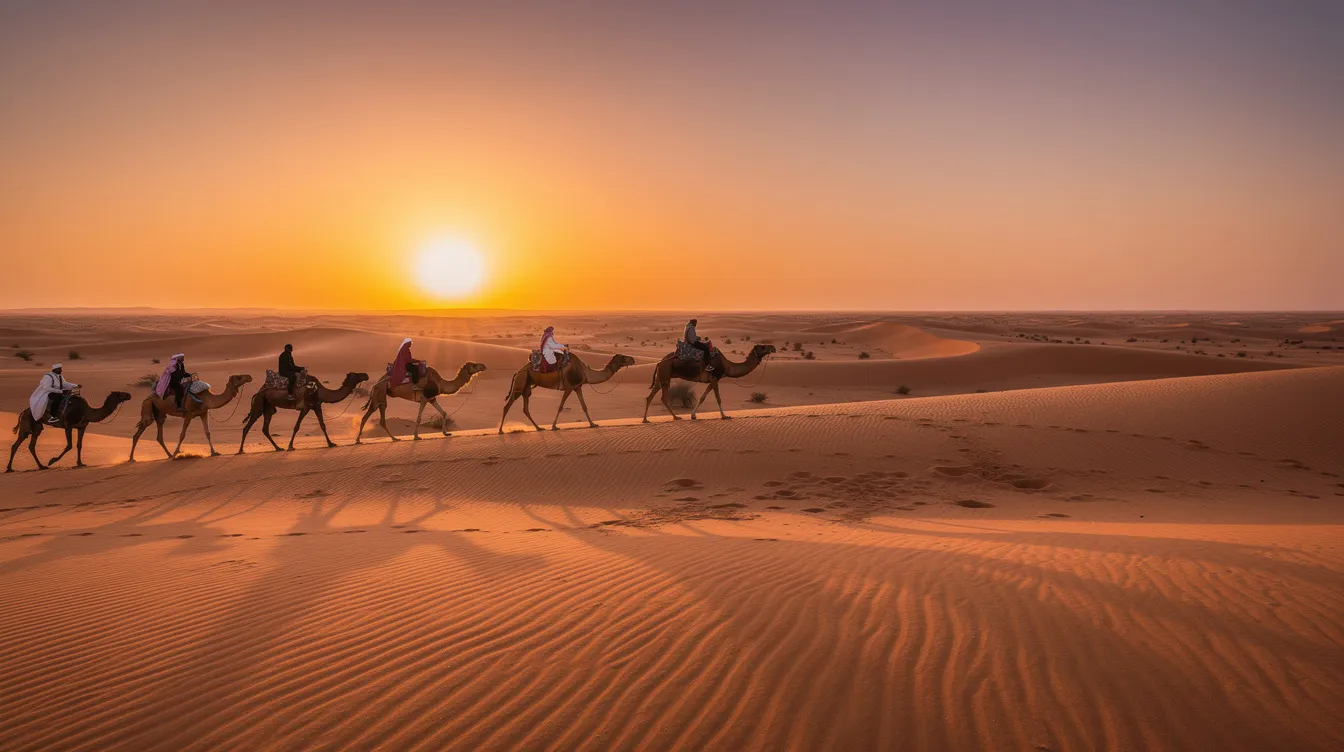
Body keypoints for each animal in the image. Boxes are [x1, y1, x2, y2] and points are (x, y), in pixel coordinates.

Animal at [238, 371, 370, 453]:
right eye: (356, 374)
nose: (366, 375)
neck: (319, 391)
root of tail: (257, 393)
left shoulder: (316, 406)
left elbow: (323, 425)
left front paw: (331, 443)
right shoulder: (306, 407)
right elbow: (297, 426)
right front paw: (290, 446)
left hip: (269, 408)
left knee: (265, 429)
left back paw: (278, 448)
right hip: (259, 406)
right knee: (247, 427)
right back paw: (240, 450)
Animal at [356, 362, 486, 443]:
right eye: (474, 365)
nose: (484, 366)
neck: (440, 383)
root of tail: (375, 384)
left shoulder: (431, 399)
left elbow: (443, 412)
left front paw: (446, 433)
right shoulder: (424, 398)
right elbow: (418, 418)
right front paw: (416, 437)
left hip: (381, 398)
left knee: (378, 418)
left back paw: (394, 438)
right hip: (380, 394)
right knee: (368, 416)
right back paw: (358, 440)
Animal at [499, 353, 637, 433]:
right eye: (623, 357)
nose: (633, 359)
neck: (584, 371)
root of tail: (517, 371)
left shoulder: (578, 387)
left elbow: (584, 406)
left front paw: (593, 424)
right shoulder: (569, 387)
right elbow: (560, 406)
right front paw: (554, 426)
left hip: (526, 387)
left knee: (525, 409)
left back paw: (539, 428)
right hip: (520, 383)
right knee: (507, 406)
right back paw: (500, 430)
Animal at [643, 343, 776, 422]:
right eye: (763, 347)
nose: (773, 347)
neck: (727, 366)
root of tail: (660, 362)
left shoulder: (711, 380)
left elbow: (703, 397)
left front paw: (693, 415)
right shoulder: (715, 378)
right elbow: (718, 398)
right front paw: (724, 416)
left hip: (662, 377)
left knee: (651, 396)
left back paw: (647, 419)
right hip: (665, 376)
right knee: (662, 397)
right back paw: (674, 417)